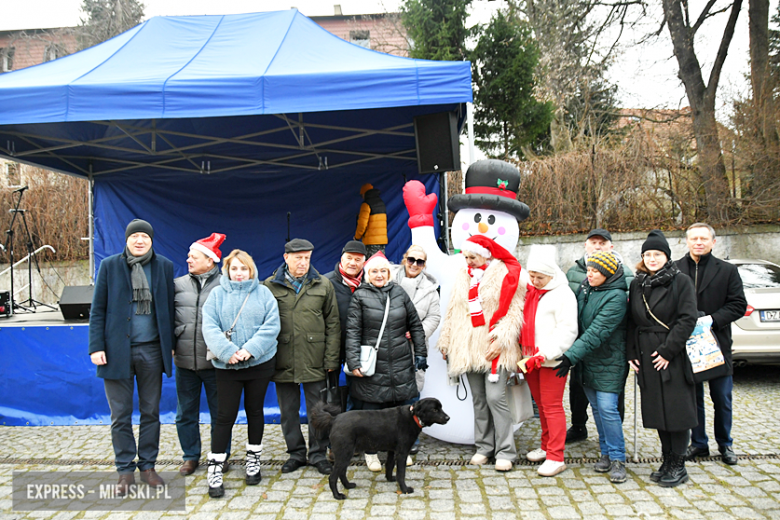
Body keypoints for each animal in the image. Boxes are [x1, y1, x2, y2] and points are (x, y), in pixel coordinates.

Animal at [308, 398, 448, 500]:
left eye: (441, 407)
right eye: (434, 409)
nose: (448, 418)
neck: (413, 417)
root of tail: (334, 419)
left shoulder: (392, 451)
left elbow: (390, 466)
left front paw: (390, 479)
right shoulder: (402, 453)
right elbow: (401, 474)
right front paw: (404, 489)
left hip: (346, 454)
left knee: (341, 473)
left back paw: (348, 486)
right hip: (344, 453)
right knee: (332, 477)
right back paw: (337, 496)